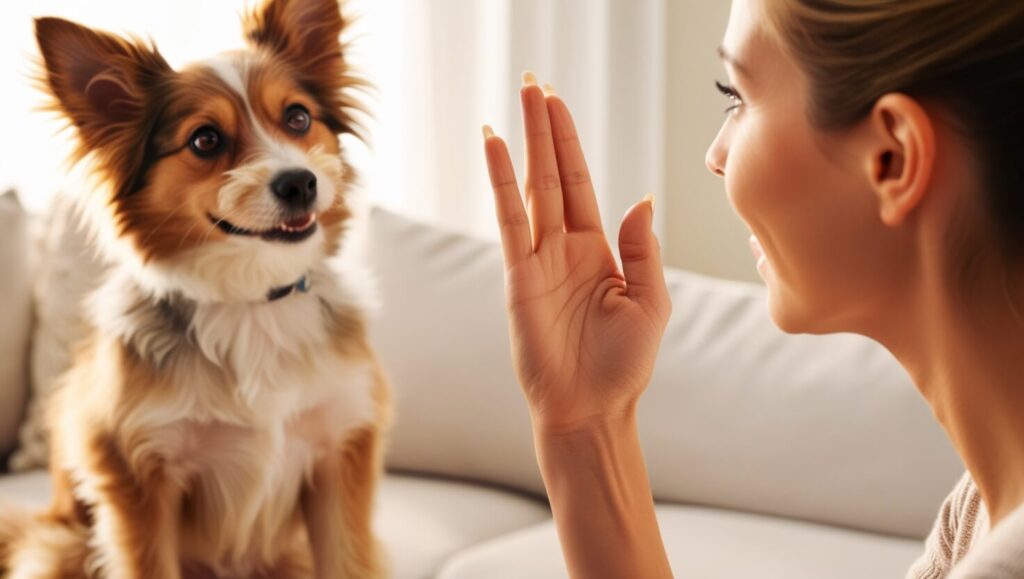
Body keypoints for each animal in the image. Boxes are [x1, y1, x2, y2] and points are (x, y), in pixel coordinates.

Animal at [0, 1, 391, 577]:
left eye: (298, 117)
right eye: (205, 139)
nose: (300, 183)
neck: (250, 301)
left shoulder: (338, 452)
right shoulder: (139, 477)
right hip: (60, 547)